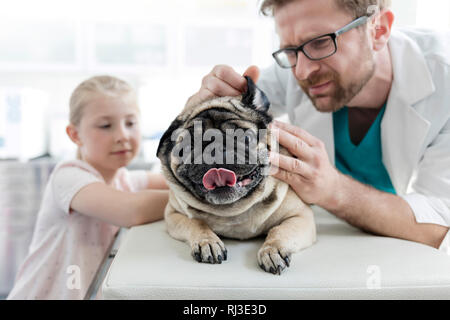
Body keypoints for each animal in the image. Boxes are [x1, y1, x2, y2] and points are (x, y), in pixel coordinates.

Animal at [156, 77, 314, 276]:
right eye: (187, 148)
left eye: (245, 138)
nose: (214, 149)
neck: (233, 210)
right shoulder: (173, 215)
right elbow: (196, 223)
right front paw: (207, 242)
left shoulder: (300, 217)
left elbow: (279, 231)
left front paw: (272, 250)